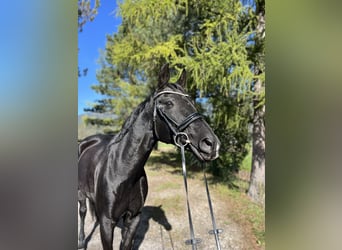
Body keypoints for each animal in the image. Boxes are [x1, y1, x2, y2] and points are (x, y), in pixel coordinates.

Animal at [78, 63, 219, 249]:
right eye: (168, 103)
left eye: (193, 103)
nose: (212, 144)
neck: (121, 170)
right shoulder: (107, 223)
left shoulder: (133, 219)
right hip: (80, 193)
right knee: (82, 211)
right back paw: (81, 242)